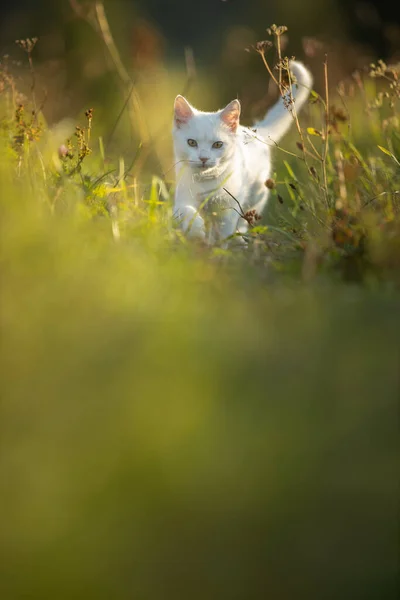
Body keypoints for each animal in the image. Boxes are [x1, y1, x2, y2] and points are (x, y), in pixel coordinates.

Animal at [172, 61, 312, 246]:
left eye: (217, 144)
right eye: (191, 142)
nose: (203, 158)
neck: (206, 181)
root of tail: (254, 131)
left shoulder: (229, 207)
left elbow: (224, 231)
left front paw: (219, 249)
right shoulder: (183, 197)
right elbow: (185, 211)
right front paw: (196, 230)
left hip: (254, 197)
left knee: (243, 221)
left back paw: (239, 240)